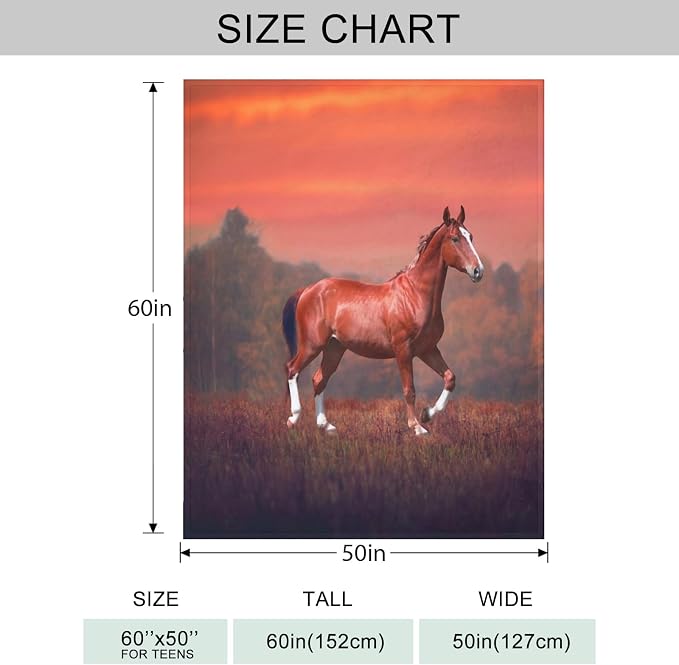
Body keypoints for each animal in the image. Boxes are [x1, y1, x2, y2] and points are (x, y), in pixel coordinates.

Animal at [281, 205, 484, 436]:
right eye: (455, 238)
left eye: (471, 236)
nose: (478, 271)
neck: (416, 294)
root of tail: (307, 290)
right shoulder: (403, 350)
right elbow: (409, 389)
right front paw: (417, 427)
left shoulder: (427, 349)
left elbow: (450, 378)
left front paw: (427, 414)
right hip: (312, 345)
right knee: (292, 370)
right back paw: (293, 418)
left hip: (334, 348)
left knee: (319, 379)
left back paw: (326, 425)